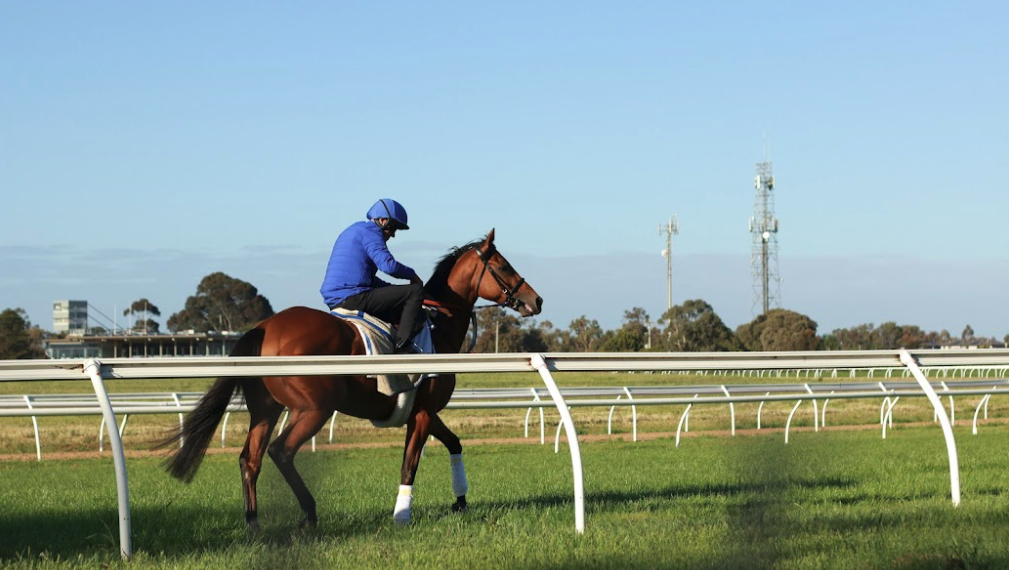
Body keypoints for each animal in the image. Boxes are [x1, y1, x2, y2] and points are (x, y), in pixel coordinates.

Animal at [161, 229, 542, 529]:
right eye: (504, 266)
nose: (535, 299)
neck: (438, 327)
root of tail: (263, 327)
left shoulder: (424, 411)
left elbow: (454, 443)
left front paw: (460, 502)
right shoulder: (421, 413)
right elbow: (409, 465)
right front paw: (402, 516)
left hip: (266, 410)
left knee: (250, 459)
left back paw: (254, 523)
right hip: (314, 408)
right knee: (281, 451)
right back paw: (309, 513)